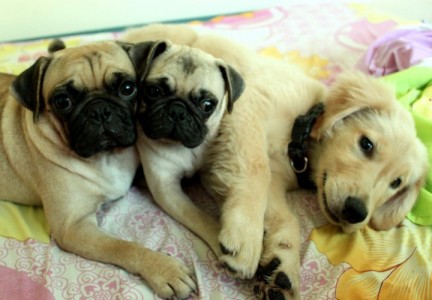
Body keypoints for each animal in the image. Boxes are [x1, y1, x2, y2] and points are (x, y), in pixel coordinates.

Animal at [123, 24, 426, 298]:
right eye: (366, 144)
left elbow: (286, 218)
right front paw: (246, 238)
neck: (301, 131)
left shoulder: (277, 180)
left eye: (396, 184)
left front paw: (282, 264)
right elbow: (256, 170)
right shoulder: (248, 111)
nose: (356, 213)